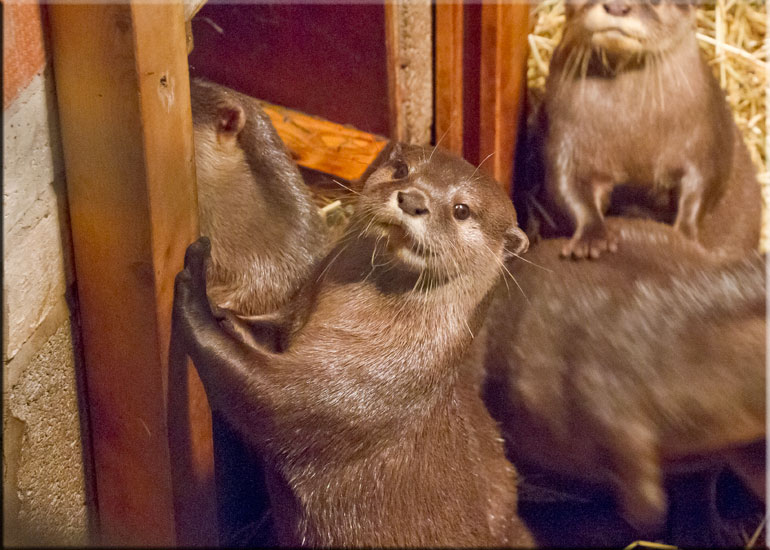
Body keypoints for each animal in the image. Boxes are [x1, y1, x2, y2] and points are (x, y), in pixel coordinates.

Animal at [172, 143, 534, 547]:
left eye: (461, 210)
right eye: (402, 169)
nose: (412, 199)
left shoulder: (358, 391)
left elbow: (264, 397)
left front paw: (196, 288)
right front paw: (226, 313)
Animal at [536, 1, 760, 259]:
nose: (617, 7)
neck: (633, 126)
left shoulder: (706, 140)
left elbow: (703, 186)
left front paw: (684, 236)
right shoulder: (566, 133)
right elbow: (567, 187)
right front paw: (591, 238)